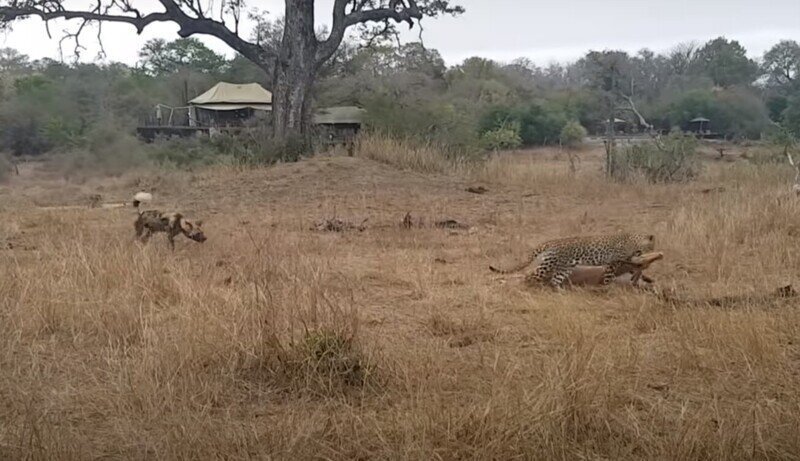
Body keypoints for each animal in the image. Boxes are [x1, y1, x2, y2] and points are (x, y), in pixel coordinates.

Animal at [488, 234, 656, 288]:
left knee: (554, 281)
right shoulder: (615, 262)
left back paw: (562, 292)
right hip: (549, 264)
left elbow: (635, 269)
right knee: (529, 276)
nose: (654, 250)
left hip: (565, 267)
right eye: (652, 245)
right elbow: (610, 275)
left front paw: (646, 278)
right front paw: (607, 286)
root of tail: (551, 242)